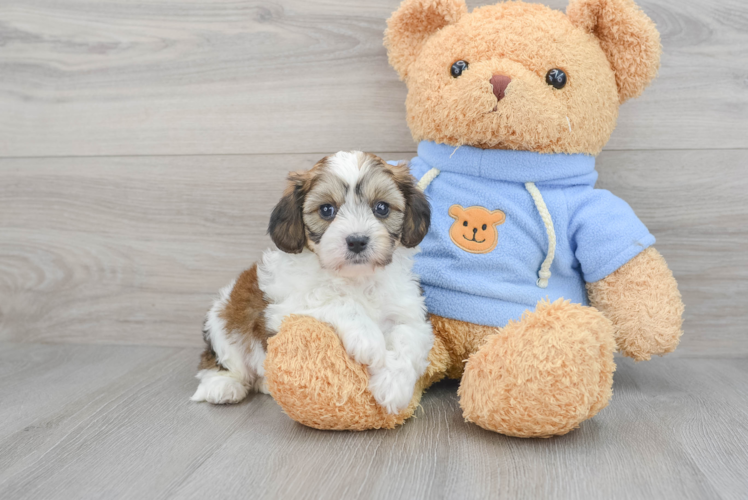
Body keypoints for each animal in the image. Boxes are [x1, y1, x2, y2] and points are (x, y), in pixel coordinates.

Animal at [191, 151, 432, 414]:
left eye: (381, 208)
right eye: (326, 210)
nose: (357, 241)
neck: (356, 278)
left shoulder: (410, 313)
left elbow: (408, 337)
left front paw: (394, 386)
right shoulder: (286, 309)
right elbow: (337, 301)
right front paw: (369, 340)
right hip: (223, 323)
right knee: (218, 361)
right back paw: (222, 385)